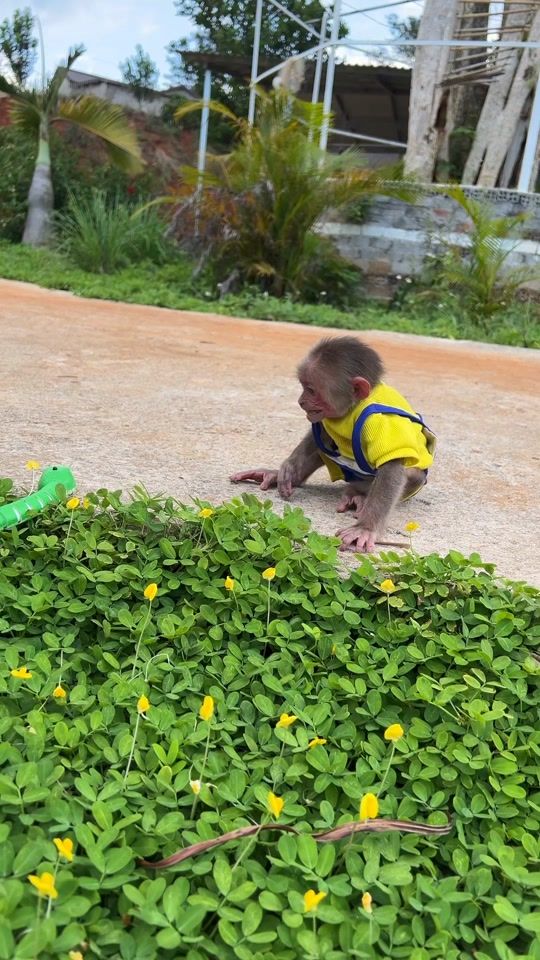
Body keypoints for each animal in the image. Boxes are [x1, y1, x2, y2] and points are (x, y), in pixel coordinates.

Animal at [231, 336, 435, 552]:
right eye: (303, 386)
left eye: (311, 390)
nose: (301, 401)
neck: (353, 407)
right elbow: (319, 432)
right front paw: (287, 470)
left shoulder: (382, 422)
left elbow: (391, 467)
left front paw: (365, 528)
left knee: (406, 474)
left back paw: (359, 494)